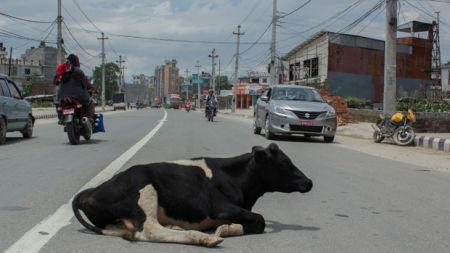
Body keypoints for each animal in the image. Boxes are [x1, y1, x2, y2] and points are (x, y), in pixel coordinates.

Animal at [73, 144, 312, 247]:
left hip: (116, 221)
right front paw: (225, 229)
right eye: (285, 163)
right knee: (148, 230)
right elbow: (260, 221)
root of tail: (91, 191)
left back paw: (180, 228)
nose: (309, 182)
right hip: (144, 188)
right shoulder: (222, 208)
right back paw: (204, 238)